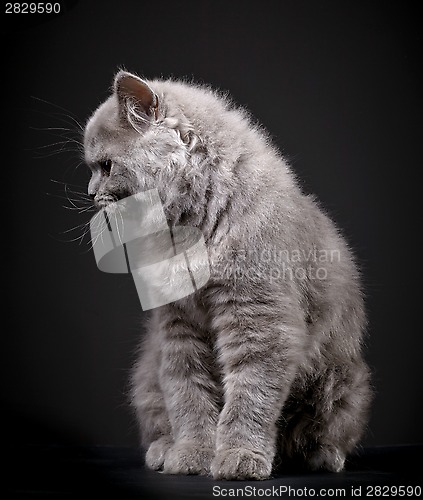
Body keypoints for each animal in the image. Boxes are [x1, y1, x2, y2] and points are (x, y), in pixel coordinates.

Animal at [83, 70, 372, 480]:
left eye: (106, 166)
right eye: (94, 168)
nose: (90, 193)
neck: (189, 228)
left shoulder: (258, 318)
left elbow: (250, 394)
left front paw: (239, 456)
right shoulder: (178, 328)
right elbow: (188, 394)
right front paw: (193, 453)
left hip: (340, 381)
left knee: (321, 431)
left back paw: (322, 457)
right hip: (146, 377)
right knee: (158, 416)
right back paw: (162, 450)